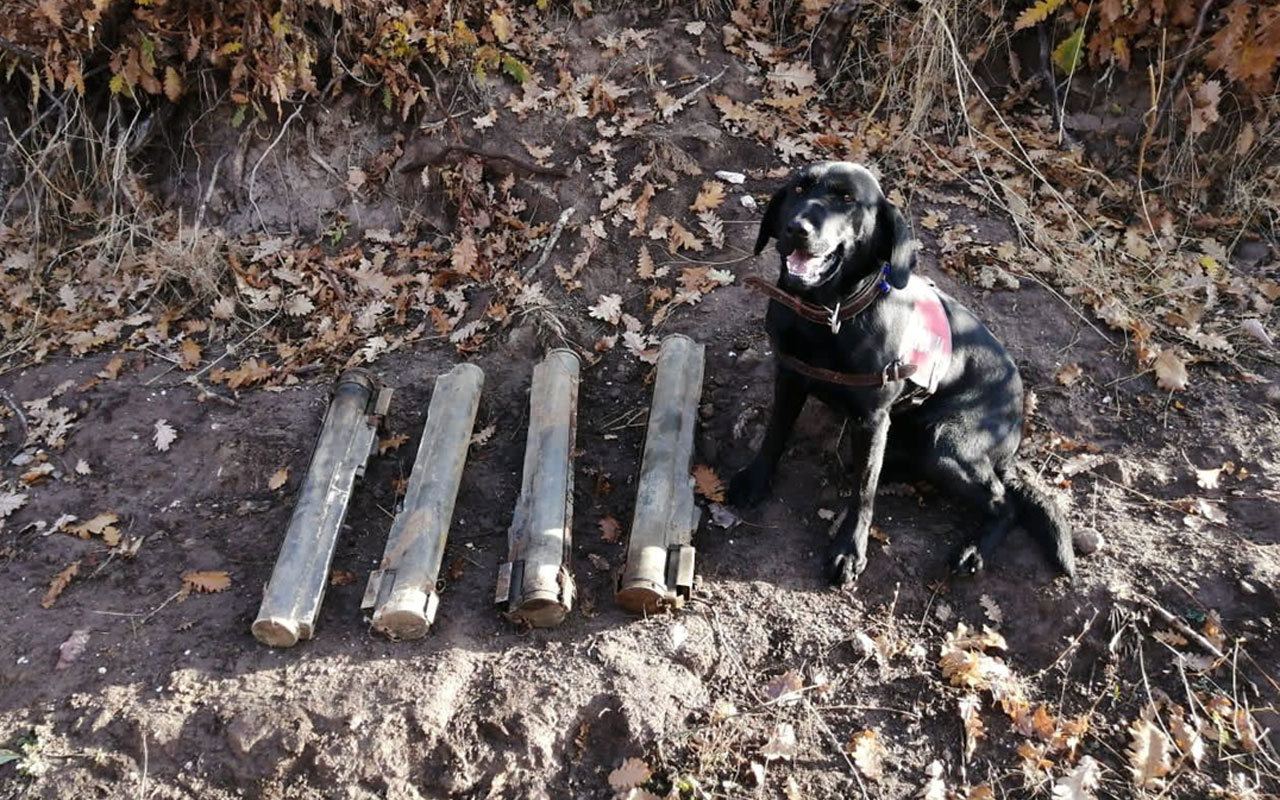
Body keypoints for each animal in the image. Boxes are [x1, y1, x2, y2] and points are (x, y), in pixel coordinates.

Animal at [727, 162, 1075, 586]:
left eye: (847, 199)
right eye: (797, 189)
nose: (797, 228)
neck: (829, 314)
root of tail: (1016, 424)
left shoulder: (872, 419)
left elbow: (864, 491)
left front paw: (849, 550)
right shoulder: (790, 378)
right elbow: (774, 435)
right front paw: (755, 479)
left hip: (946, 443)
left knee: (1005, 503)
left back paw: (974, 550)